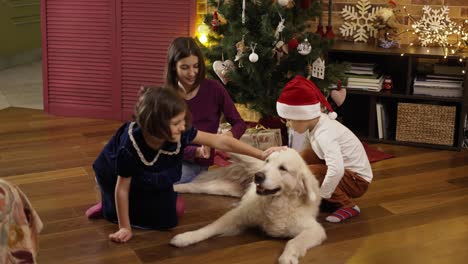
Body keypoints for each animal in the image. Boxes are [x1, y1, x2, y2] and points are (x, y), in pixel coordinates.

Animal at [171, 148, 326, 264]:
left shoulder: (315, 230)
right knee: (194, 186)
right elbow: (209, 228)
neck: (276, 204)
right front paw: (187, 237)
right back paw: (175, 187)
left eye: (283, 168)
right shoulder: (237, 215)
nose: (258, 176)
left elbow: (294, 242)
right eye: (267, 161)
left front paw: (287, 257)